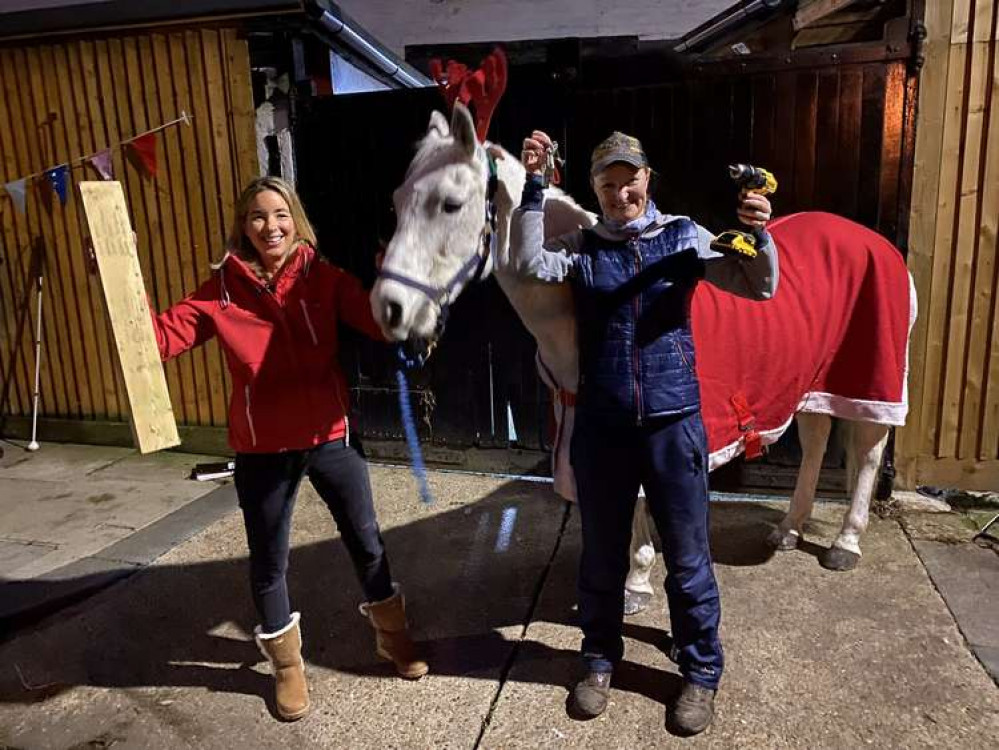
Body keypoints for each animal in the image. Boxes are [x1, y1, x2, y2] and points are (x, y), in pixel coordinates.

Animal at [374, 104, 916, 592]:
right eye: (396, 201)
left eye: (451, 203)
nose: (389, 308)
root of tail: (880, 245)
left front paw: (636, 578)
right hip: (811, 382)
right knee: (818, 437)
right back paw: (788, 529)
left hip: (873, 378)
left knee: (869, 451)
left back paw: (845, 543)